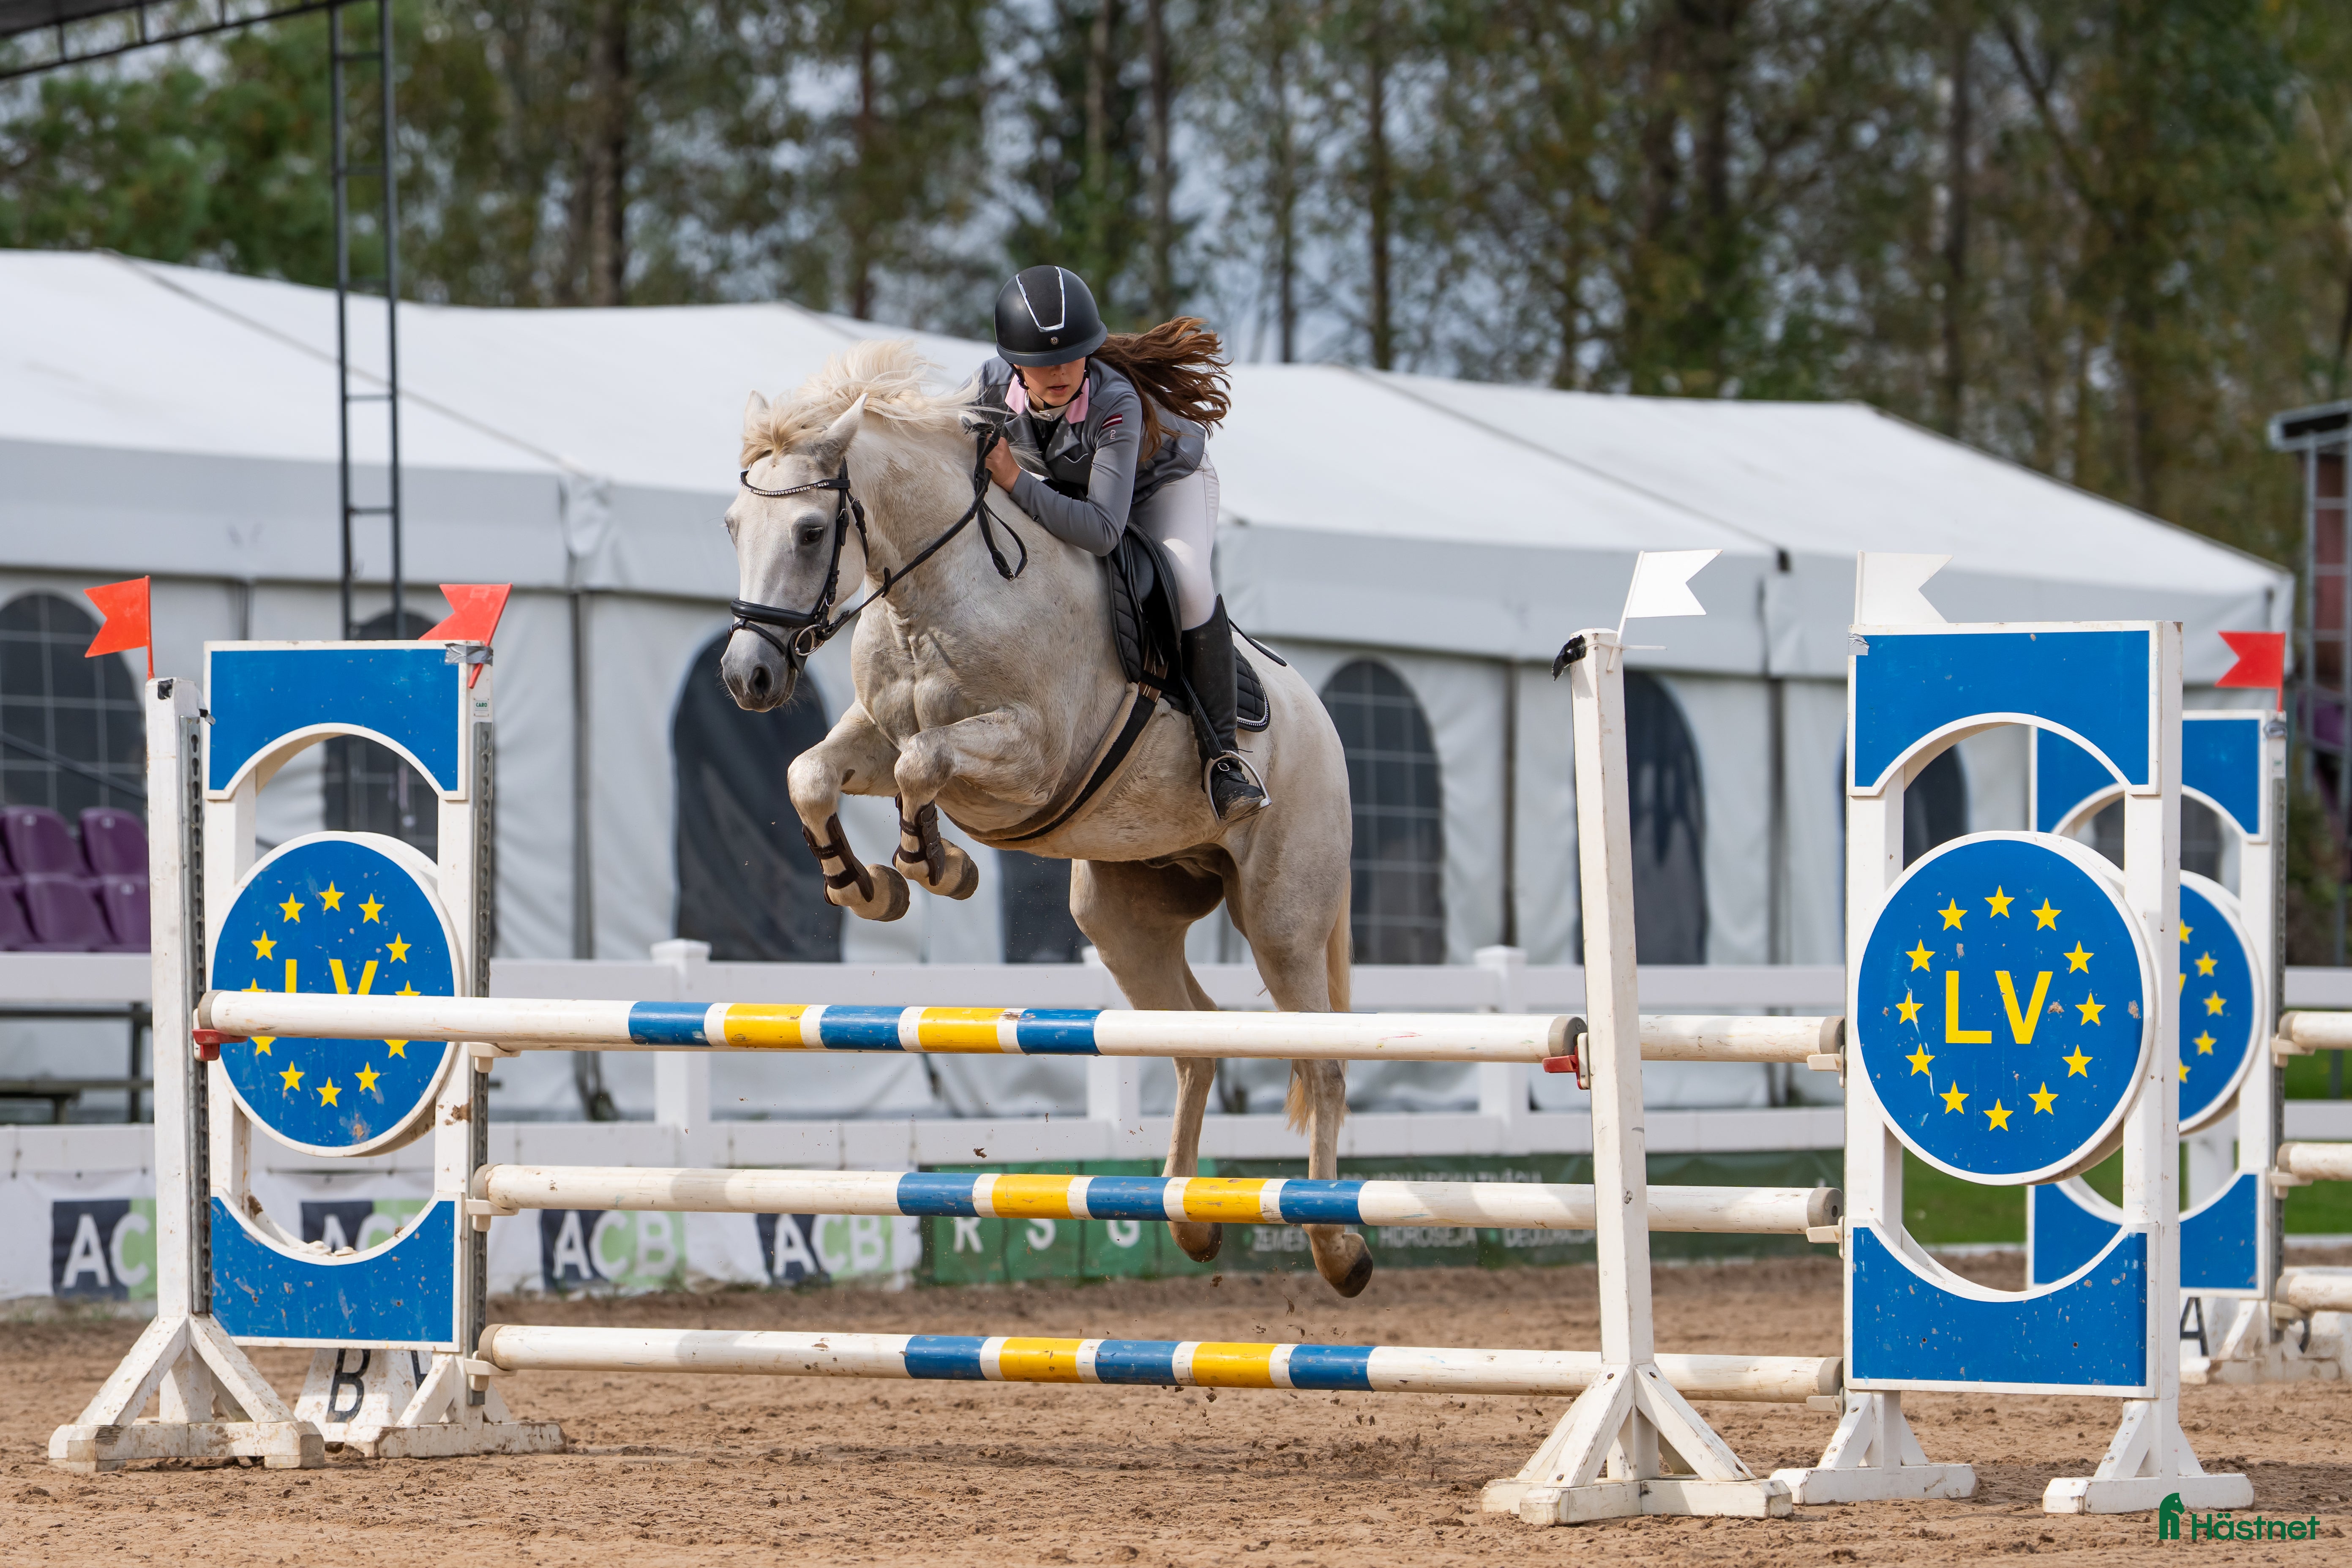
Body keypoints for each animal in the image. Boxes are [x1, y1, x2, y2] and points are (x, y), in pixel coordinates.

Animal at [719, 341, 1370, 1296]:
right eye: (733, 524)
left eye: (808, 532)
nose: (747, 677)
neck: (931, 598)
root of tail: (1322, 725)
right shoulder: (874, 731)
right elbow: (815, 774)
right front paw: (869, 885)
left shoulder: (1029, 759)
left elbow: (925, 764)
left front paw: (935, 864)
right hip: (1122, 917)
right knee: (1196, 1041)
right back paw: (1188, 1219)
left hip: (1284, 916)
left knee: (1320, 1061)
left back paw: (1336, 1246)